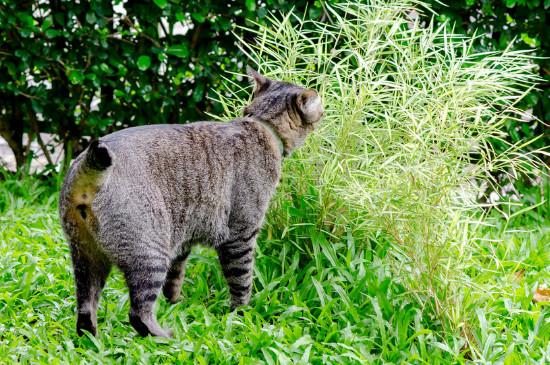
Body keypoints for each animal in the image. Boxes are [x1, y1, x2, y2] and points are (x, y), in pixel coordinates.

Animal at [58, 67, 326, 336]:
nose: (323, 109)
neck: (262, 125)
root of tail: (86, 164)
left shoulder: (183, 240)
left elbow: (175, 280)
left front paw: (176, 305)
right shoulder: (240, 234)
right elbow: (242, 282)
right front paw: (241, 315)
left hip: (86, 258)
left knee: (85, 309)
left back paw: (91, 338)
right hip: (150, 253)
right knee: (138, 313)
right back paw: (166, 336)